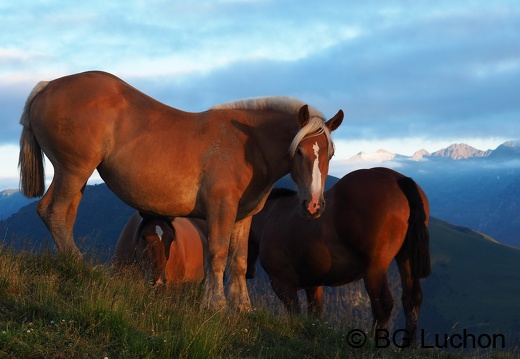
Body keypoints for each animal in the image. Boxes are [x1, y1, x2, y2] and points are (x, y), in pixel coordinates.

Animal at [18, 71, 346, 312]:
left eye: (329, 153)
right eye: (299, 151)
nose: (314, 205)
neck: (246, 144)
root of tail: (48, 86)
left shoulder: (243, 217)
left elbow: (238, 261)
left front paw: (242, 308)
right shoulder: (220, 209)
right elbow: (217, 254)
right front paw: (216, 305)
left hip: (76, 176)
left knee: (64, 215)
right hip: (73, 171)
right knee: (53, 212)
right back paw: (79, 266)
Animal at [248, 168, 430, 344]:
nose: (249, 272)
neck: (270, 217)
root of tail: (398, 179)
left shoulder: (282, 284)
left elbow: (295, 314)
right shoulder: (313, 286)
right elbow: (315, 316)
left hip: (374, 268)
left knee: (383, 304)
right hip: (406, 260)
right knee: (412, 300)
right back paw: (408, 347)